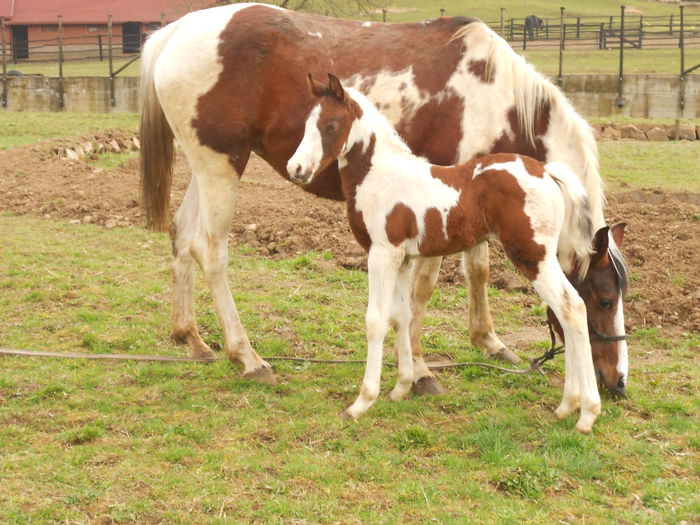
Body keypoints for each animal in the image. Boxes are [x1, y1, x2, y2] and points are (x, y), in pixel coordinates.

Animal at [286, 75, 600, 432]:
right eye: (308, 123)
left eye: (331, 125)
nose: (296, 168)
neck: (381, 175)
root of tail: (546, 172)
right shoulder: (404, 260)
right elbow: (402, 316)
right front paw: (402, 387)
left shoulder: (382, 255)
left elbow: (376, 321)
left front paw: (362, 402)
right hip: (544, 258)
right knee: (567, 311)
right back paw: (567, 406)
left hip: (533, 257)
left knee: (571, 308)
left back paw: (587, 414)